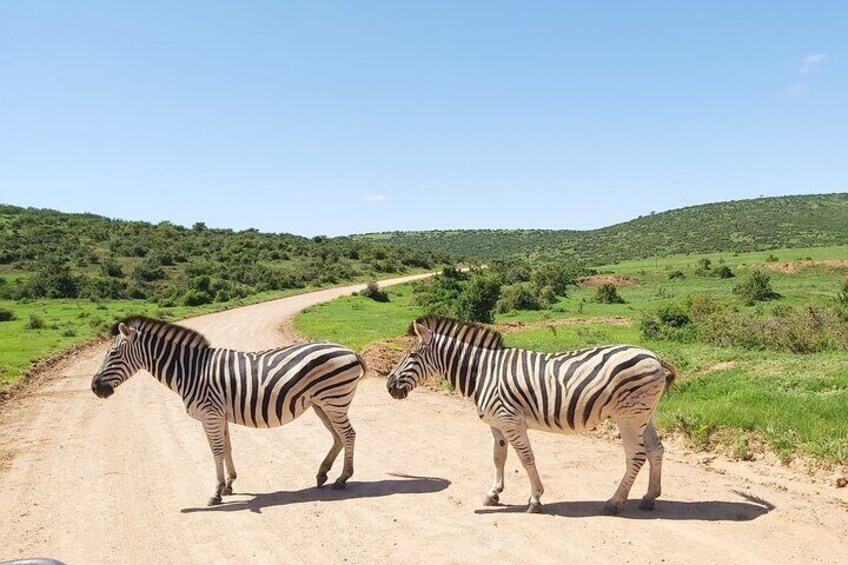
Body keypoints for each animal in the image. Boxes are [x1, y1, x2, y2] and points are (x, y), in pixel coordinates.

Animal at [91, 316, 366, 504]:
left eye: (113, 353)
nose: (94, 387)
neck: (191, 370)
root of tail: (350, 351)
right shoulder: (219, 414)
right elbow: (227, 448)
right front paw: (229, 485)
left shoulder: (210, 414)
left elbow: (215, 451)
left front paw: (216, 492)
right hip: (322, 403)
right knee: (338, 437)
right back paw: (322, 474)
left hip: (334, 400)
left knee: (348, 435)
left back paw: (342, 479)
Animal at [388, 316, 680, 512]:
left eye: (411, 355)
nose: (389, 386)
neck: (483, 372)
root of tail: (653, 356)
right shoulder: (496, 424)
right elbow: (499, 457)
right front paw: (493, 494)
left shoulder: (510, 420)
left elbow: (526, 458)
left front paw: (535, 499)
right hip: (645, 414)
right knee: (656, 450)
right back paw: (649, 497)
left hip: (629, 416)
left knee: (636, 457)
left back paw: (614, 502)